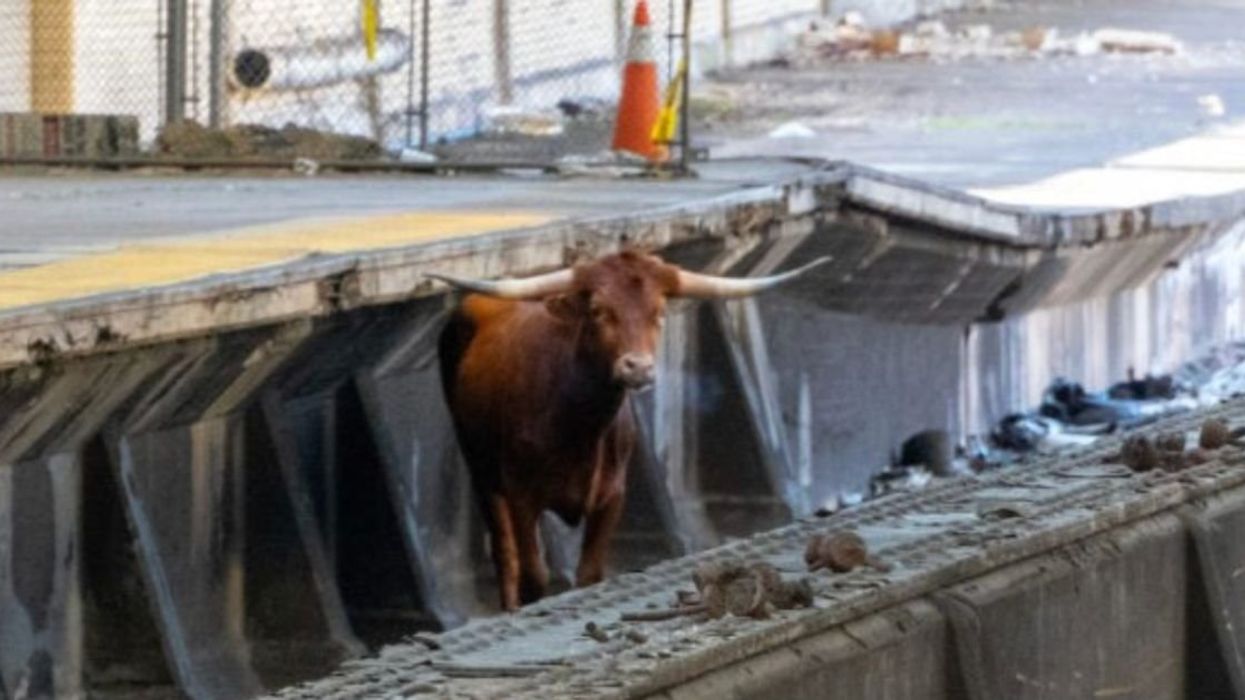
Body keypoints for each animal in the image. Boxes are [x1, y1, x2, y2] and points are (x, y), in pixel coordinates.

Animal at [431, 250, 828, 611]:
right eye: (599, 310)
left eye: (659, 312)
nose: (638, 367)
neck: (576, 426)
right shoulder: (522, 494)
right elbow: (533, 576)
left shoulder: (612, 496)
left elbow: (589, 574)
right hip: (482, 472)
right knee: (505, 553)